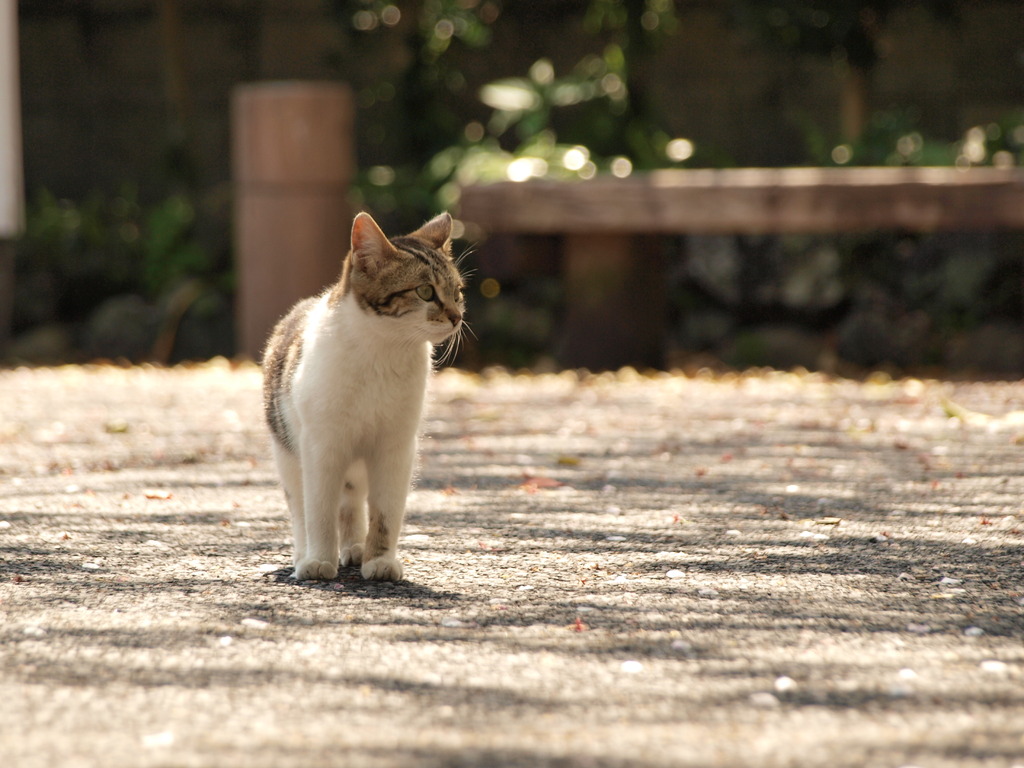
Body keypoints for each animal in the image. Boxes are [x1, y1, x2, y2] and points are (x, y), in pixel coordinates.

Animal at [260, 211, 464, 581]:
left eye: (457, 293)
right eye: (425, 291)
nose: (457, 318)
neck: (383, 350)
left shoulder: (396, 447)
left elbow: (385, 512)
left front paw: (379, 560)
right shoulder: (321, 446)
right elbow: (319, 511)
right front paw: (318, 560)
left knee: (351, 502)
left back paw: (354, 547)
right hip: (287, 453)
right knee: (301, 506)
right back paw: (304, 553)